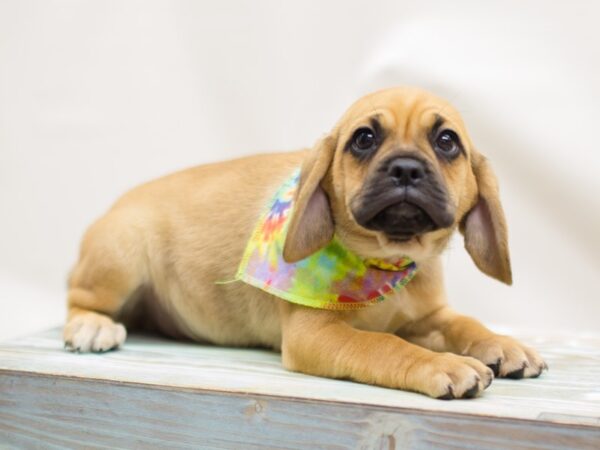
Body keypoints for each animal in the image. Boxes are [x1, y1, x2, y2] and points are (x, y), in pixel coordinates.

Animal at [63, 86, 548, 400]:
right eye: (364, 139)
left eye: (447, 141)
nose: (407, 169)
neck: (385, 260)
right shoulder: (313, 334)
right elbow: (383, 345)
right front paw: (442, 364)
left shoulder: (430, 316)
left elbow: (464, 324)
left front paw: (502, 344)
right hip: (121, 253)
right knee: (79, 298)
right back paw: (92, 326)